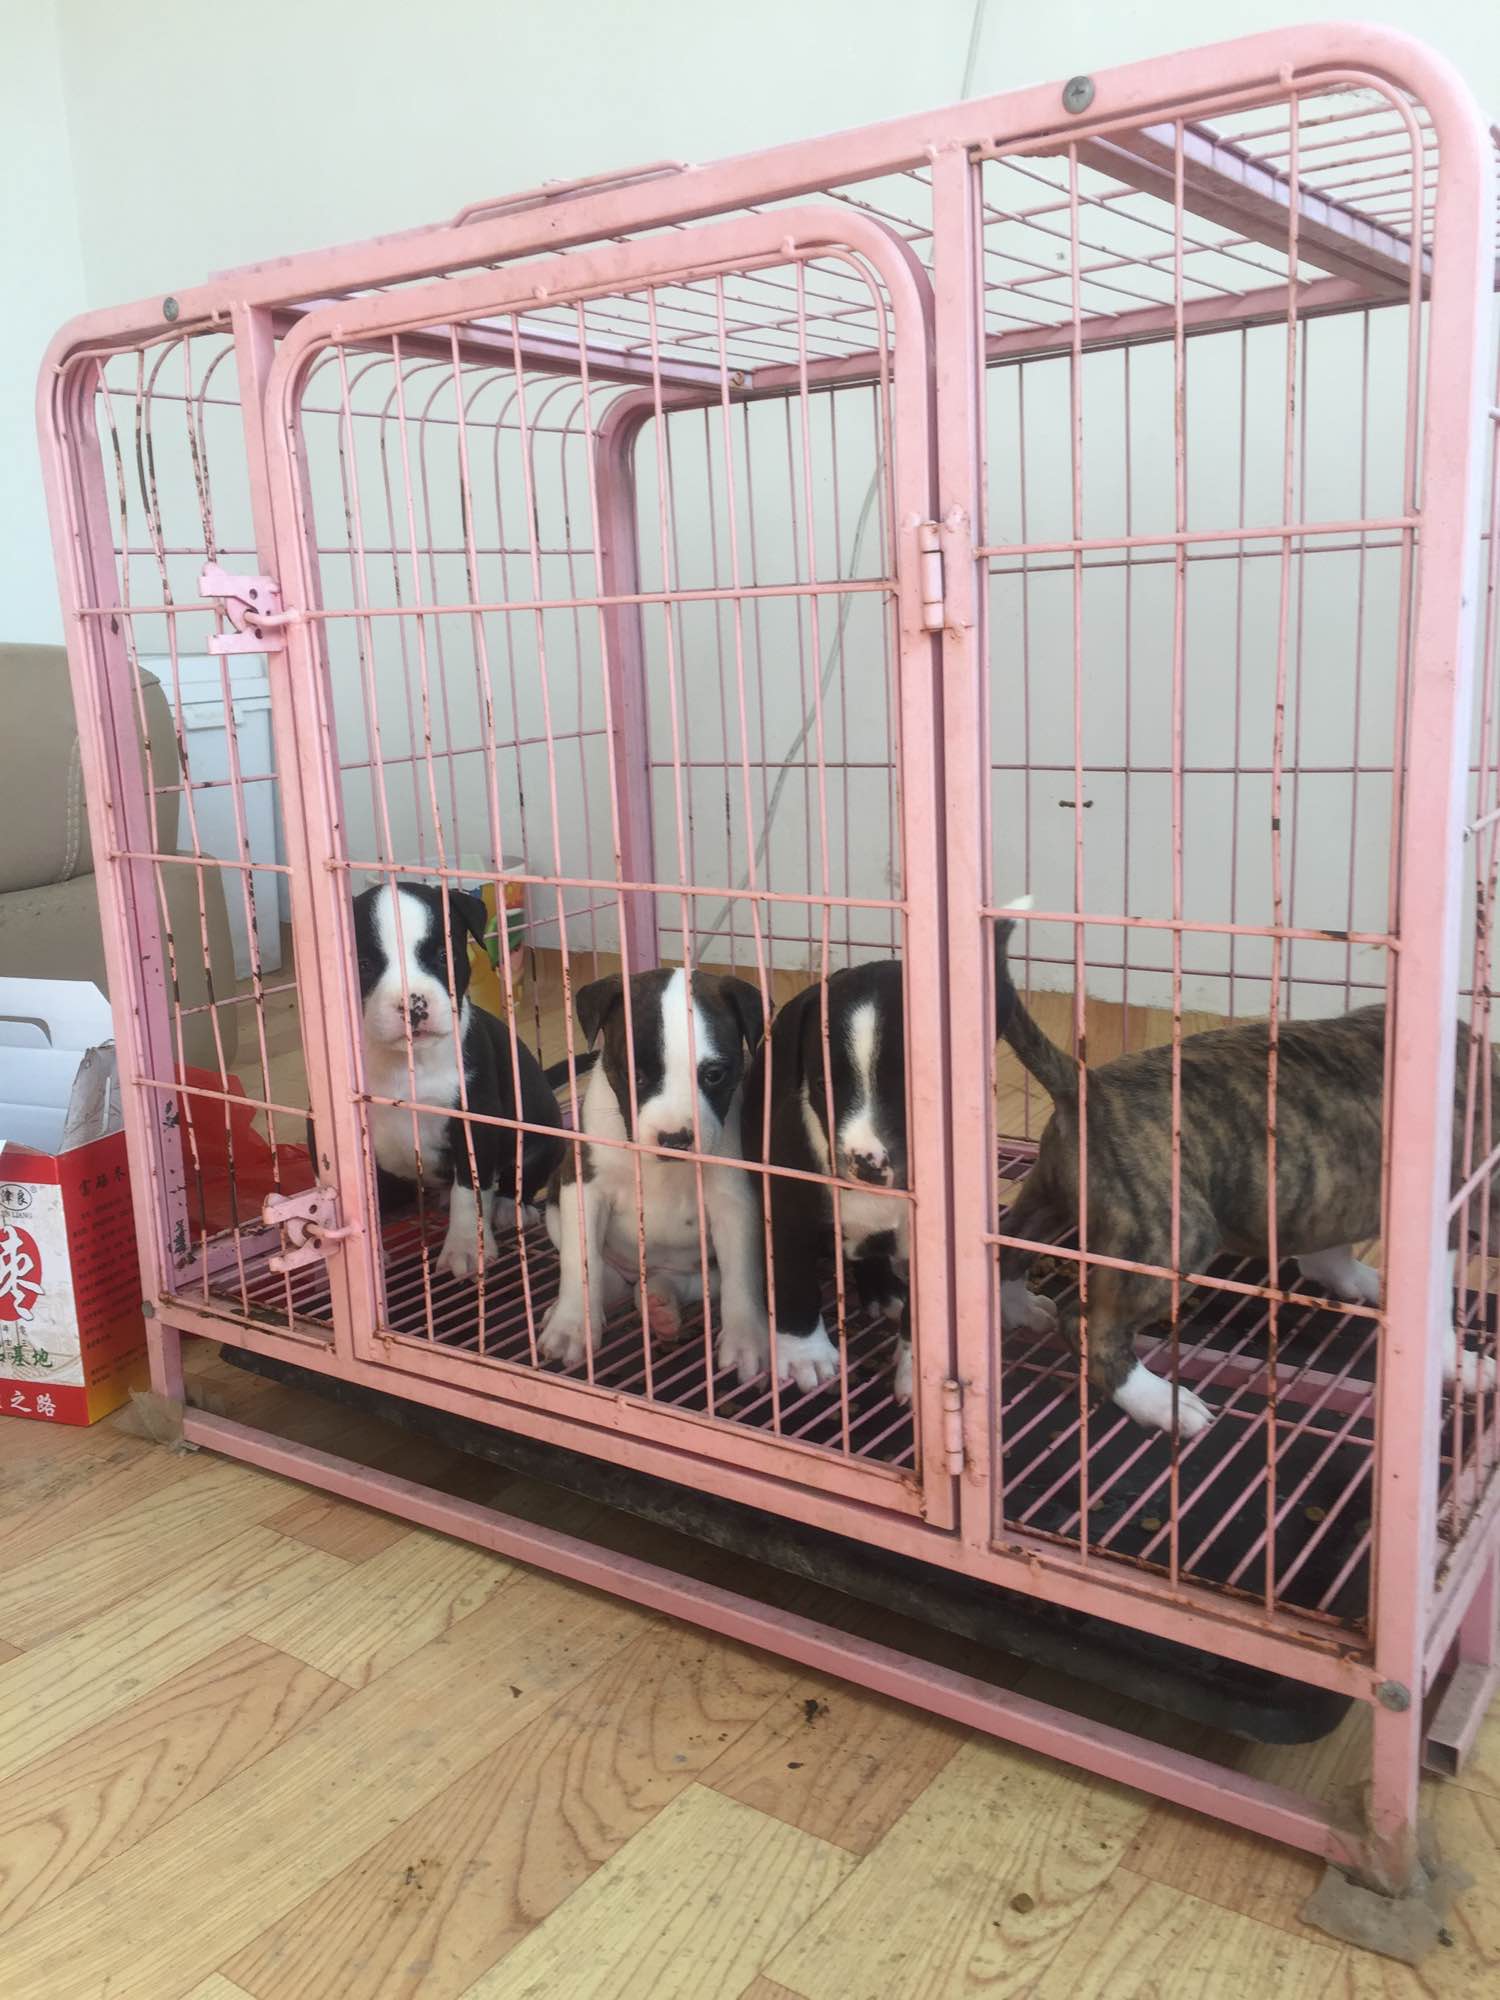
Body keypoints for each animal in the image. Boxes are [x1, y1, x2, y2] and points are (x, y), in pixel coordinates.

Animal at [351, 881, 566, 1279]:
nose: (413, 1005)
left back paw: (508, 1207)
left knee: (520, 1178)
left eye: (441, 956)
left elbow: (469, 1192)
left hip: (543, 1138)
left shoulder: (474, 1122)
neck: (408, 1063)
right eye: (364, 965)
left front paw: (466, 1248)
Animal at [538, 967, 770, 1384]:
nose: (674, 1138)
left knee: (687, 1283)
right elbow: (580, 1260)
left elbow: (741, 1276)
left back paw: (660, 1304)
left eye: (714, 1074)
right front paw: (571, 1326)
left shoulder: (736, 1205)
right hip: (553, 1202)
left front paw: (746, 1339)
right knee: (603, 1274)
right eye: (635, 1075)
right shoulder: (584, 1186)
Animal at [741, 961, 911, 1399]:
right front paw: (807, 1355)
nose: (868, 1162)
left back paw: (883, 1289)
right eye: (822, 1086)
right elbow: (795, 1283)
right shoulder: (786, 1214)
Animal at [993, 918, 1500, 1436]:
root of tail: (1088, 1089)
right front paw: (1461, 1366)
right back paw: (1162, 1404)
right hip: (1174, 1238)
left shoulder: (1328, 1194)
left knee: (1009, 1247)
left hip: (1049, 1198)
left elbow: (1330, 1255)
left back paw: (1021, 1308)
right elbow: (1436, 1312)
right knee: (1089, 1327)